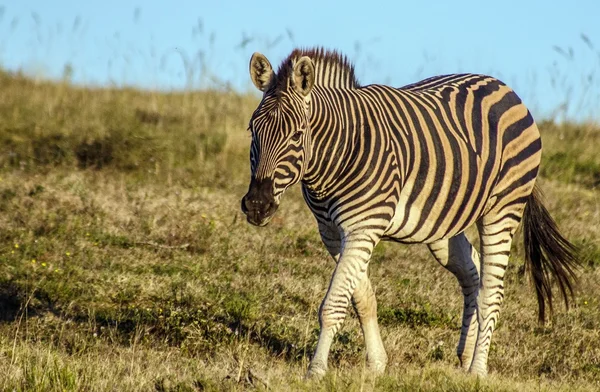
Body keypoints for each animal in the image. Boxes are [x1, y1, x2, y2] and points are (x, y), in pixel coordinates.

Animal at [240, 47, 580, 378]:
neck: (337, 156)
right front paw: (377, 364)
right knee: (472, 271)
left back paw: (478, 372)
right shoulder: (332, 233)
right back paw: (466, 356)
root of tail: (506, 89)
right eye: (252, 130)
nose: (257, 205)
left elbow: (333, 304)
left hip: (502, 209)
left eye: (297, 135)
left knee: (491, 292)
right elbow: (362, 299)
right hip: (444, 223)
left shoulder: (362, 227)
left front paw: (316, 371)